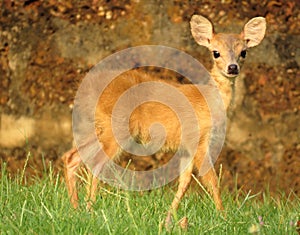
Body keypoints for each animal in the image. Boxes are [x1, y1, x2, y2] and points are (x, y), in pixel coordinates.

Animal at [62, 14, 266, 226]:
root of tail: (88, 88)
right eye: (215, 53)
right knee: (95, 163)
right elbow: (211, 179)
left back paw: (76, 209)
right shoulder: (198, 139)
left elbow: (184, 182)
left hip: (101, 127)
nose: (232, 68)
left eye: (243, 52)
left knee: (71, 156)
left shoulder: (186, 147)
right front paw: (224, 217)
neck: (208, 101)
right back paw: (89, 210)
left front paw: (169, 219)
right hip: (117, 128)